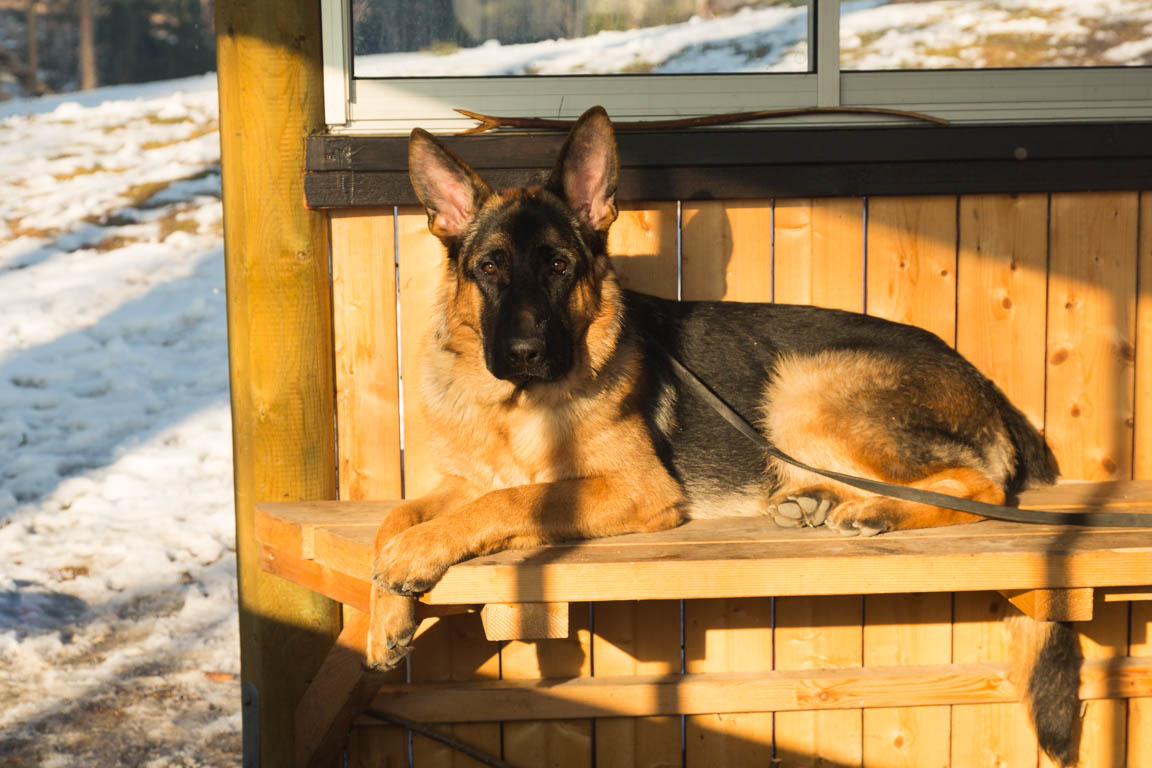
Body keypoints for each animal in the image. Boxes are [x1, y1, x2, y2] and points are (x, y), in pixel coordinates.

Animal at [368, 106, 1078, 764]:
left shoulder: (636, 489)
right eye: (489, 267)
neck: (513, 408)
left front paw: (414, 556)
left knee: (982, 488)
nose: (525, 353)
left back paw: (875, 511)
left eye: (560, 266)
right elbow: (395, 519)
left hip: (800, 384)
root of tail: (982, 380)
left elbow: (510, 499)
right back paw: (819, 501)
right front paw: (384, 614)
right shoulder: (460, 482)